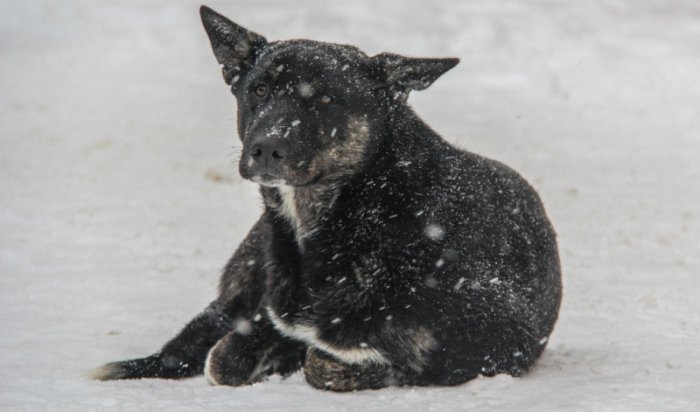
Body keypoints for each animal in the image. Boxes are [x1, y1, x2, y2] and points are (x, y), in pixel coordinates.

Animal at [91, 6, 564, 392]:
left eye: (325, 98)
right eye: (259, 90)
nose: (266, 147)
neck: (363, 210)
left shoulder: (496, 345)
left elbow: (331, 362)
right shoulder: (271, 316)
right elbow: (223, 358)